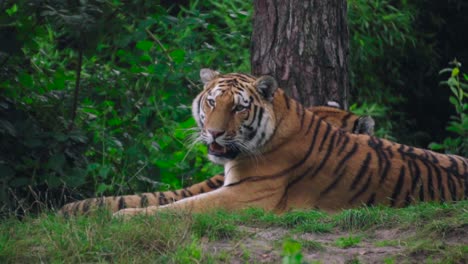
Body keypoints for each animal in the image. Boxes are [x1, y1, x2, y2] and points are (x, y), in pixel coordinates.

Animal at [64, 68, 466, 219]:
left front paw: (120, 218)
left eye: (239, 107)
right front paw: (79, 210)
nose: (213, 133)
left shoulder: (244, 196)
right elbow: (157, 198)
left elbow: (178, 207)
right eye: (212, 102)